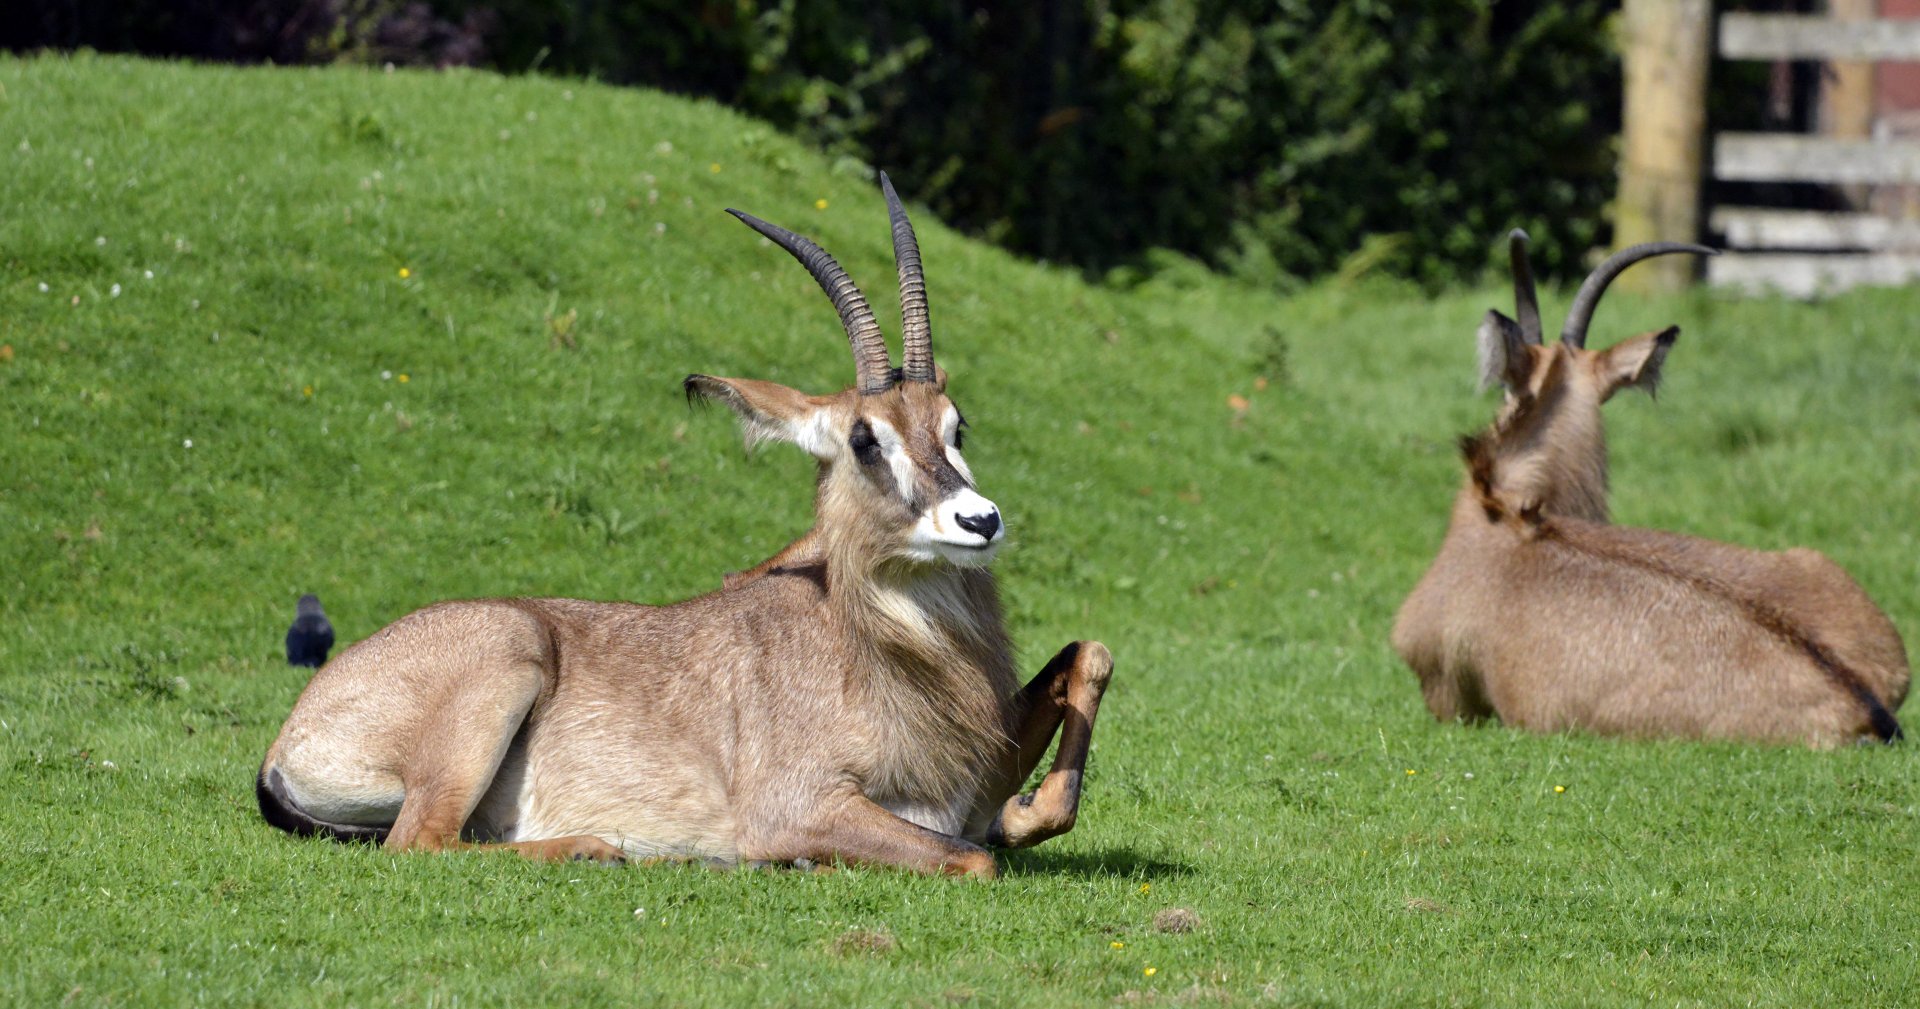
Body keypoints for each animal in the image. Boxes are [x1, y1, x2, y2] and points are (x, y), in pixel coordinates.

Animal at [256, 175, 1115, 876]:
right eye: (864, 438)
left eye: (954, 423)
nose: (979, 520)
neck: (870, 643)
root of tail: (289, 737)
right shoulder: (797, 806)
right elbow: (973, 859)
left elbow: (1087, 658)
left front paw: (1023, 812)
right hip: (507, 659)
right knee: (421, 840)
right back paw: (598, 845)